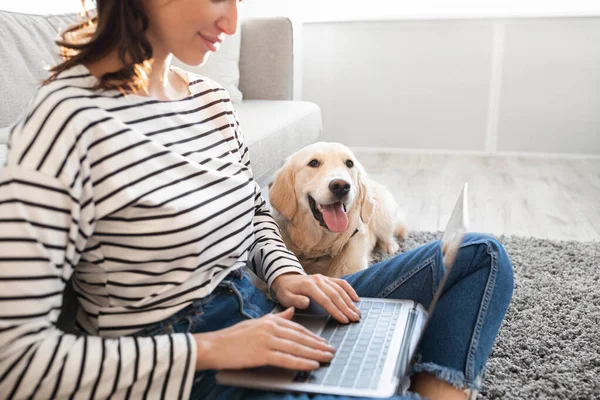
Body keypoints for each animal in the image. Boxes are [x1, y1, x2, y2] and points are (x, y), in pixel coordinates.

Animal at [270, 141, 408, 278]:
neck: (323, 246)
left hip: (384, 213)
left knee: (388, 235)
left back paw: (390, 246)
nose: (341, 186)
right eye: (313, 163)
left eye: (349, 163)